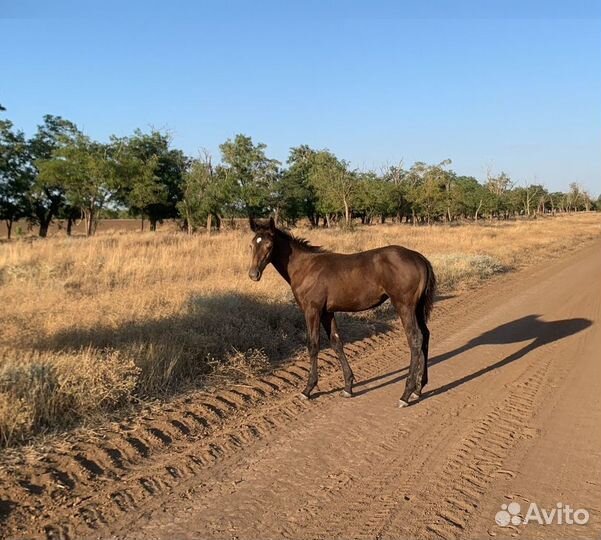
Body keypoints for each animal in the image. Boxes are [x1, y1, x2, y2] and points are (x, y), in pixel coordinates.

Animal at [246, 217, 434, 408]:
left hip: (404, 306)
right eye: (252, 244)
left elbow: (313, 345)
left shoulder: (312, 310)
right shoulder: (327, 313)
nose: (253, 274)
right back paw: (419, 389)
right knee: (425, 335)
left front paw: (308, 389)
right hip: (417, 308)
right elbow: (336, 342)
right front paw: (348, 387)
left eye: (269, 245)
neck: (305, 268)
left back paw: (406, 394)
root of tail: (419, 258)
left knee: (415, 339)